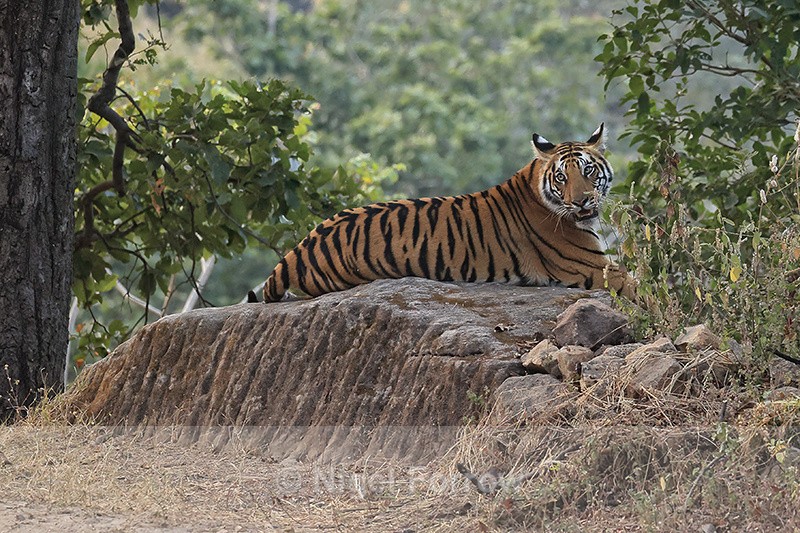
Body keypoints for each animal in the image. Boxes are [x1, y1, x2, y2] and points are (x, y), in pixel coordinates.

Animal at [253, 123, 635, 303]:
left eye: (588, 171)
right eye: (561, 177)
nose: (582, 202)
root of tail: (298, 250)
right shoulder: (591, 267)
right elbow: (637, 283)